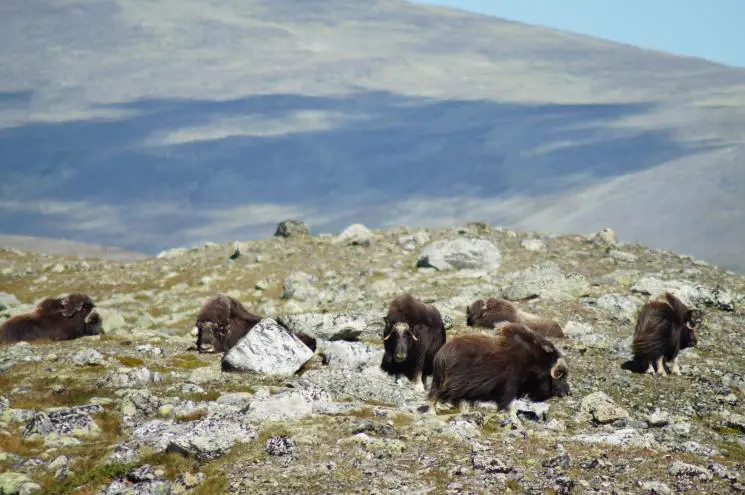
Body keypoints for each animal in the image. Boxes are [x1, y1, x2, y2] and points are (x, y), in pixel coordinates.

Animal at [424, 324, 568, 424]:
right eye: (560, 375)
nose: (568, 392)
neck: (535, 360)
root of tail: (441, 355)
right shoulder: (511, 386)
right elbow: (510, 404)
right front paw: (515, 419)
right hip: (454, 385)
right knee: (440, 397)